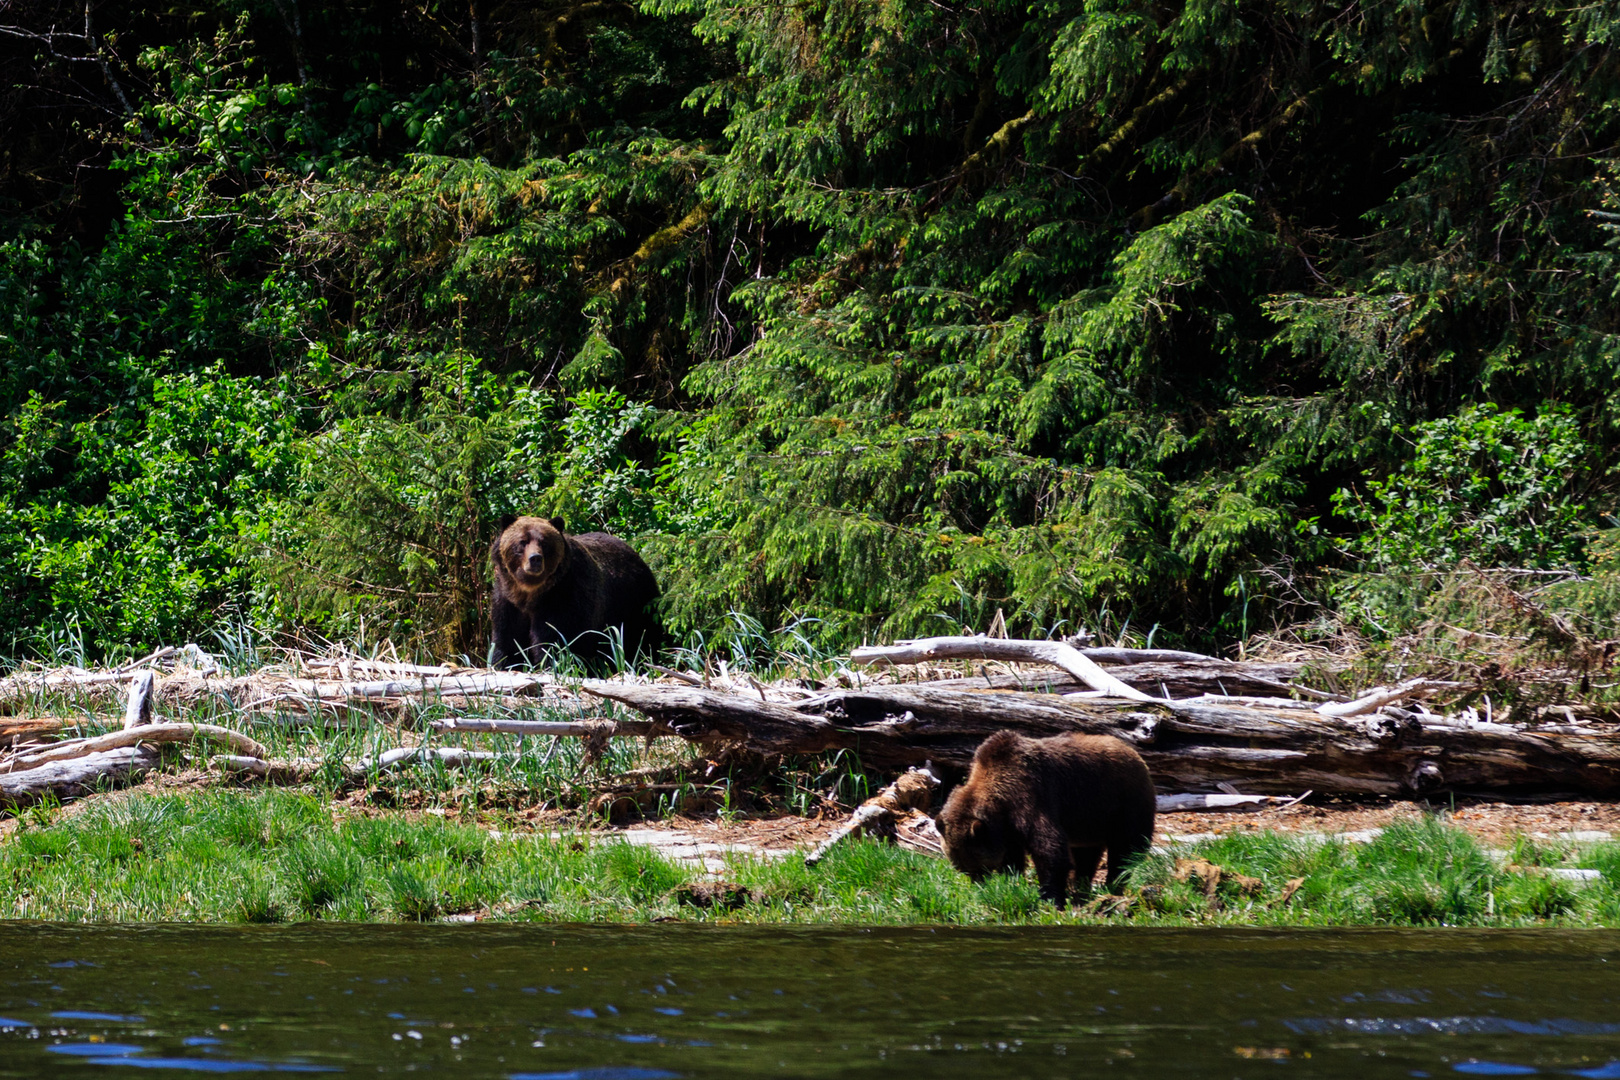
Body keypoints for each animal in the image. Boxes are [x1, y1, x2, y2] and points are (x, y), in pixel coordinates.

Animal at [486, 514, 657, 667]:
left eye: (544, 543)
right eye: (522, 541)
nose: (535, 558)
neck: (530, 593)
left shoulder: (564, 596)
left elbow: (555, 639)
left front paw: (552, 663)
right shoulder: (507, 600)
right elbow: (507, 639)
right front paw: (504, 663)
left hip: (634, 603)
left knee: (643, 637)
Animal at [939, 731, 1153, 906]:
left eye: (979, 867)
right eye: (963, 868)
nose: (979, 885)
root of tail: (1133, 752)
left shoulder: (1031, 797)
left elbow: (1049, 850)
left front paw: (1050, 897)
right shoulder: (1007, 830)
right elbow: (1012, 857)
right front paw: (1010, 881)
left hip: (1123, 802)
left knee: (1126, 848)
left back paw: (1113, 884)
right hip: (1090, 820)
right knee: (1086, 854)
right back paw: (1081, 886)